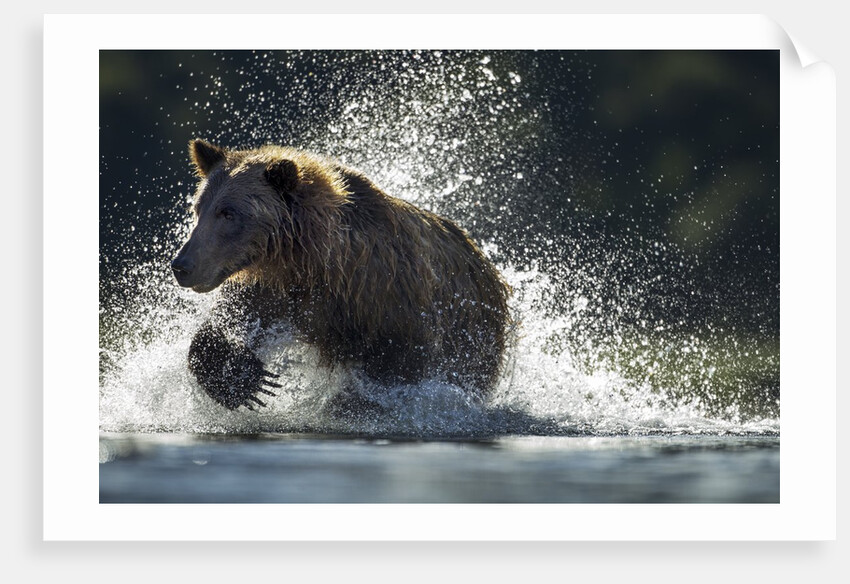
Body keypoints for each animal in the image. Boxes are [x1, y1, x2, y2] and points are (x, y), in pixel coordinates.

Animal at [171, 138, 512, 412]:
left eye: (228, 213)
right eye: (198, 208)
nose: (182, 265)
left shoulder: (386, 299)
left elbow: (401, 366)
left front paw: (354, 401)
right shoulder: (276, 289)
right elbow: (230, 321)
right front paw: (245, 379)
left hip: (474, 332)